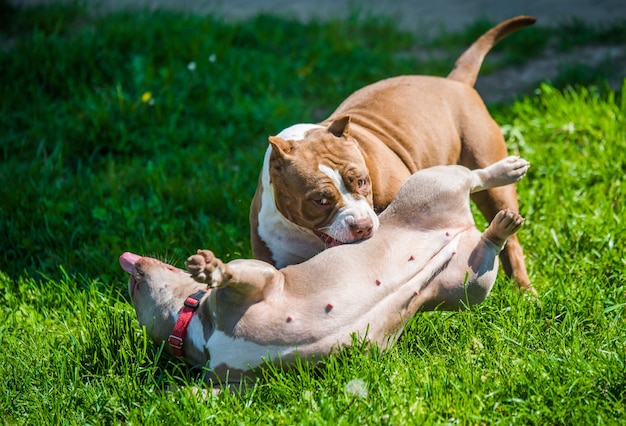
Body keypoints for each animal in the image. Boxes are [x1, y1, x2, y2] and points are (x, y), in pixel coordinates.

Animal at [120, 156, 528, 386]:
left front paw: (210, 268)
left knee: (475, 176)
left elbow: (235, 273)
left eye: (136, 285)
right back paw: (501, 226)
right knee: (487, 249)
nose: (128, 261)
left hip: (433, 182)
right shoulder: (236, 382)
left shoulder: (263, 280)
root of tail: (460, 228)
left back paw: (508, 169)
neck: (194, 328)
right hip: (467, 286)